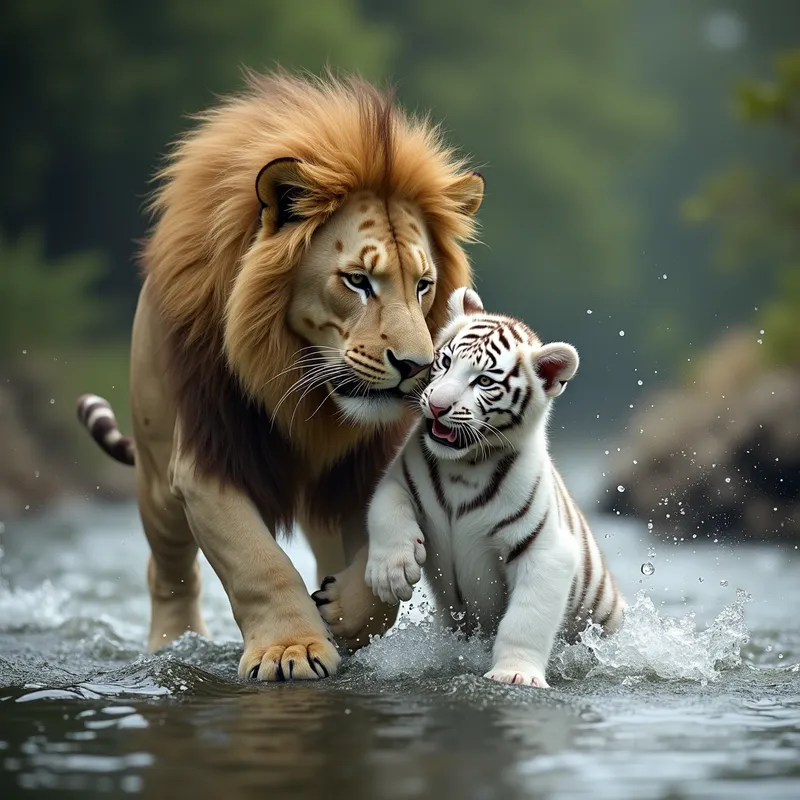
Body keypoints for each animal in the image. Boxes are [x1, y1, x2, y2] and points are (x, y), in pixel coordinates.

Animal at [76, 69, 484, 681]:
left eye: (423, 285)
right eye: (358, 280)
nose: (416, 367)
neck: (307, 397)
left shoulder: (367, 466)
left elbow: (378, 575)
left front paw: (343, 614)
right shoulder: (208, 460)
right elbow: (258, 563)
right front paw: (291, 649)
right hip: (155, 475)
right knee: (167, 570)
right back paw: (173, 645)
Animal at [364, 287, 626, 687]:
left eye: (484, 382)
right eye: (444, 361)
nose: (437, 406)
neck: (465, 464)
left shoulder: (545, 550)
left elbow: (526, 620)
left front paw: (515, 674)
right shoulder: (398, 480)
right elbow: (385, 509)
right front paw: (391, 574)